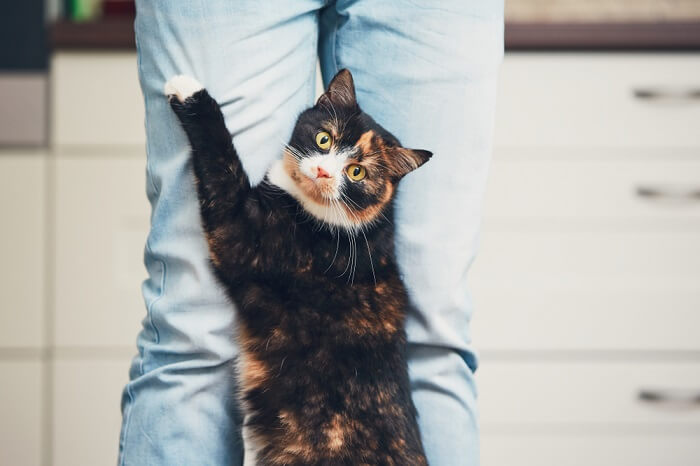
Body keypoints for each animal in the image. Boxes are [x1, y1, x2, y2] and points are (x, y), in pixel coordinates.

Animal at [165, 67, 432, 464]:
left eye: (357, 172)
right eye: (324, 138)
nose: (322, 170)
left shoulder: (242, 237)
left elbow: (222, 160)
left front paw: (190, 92)